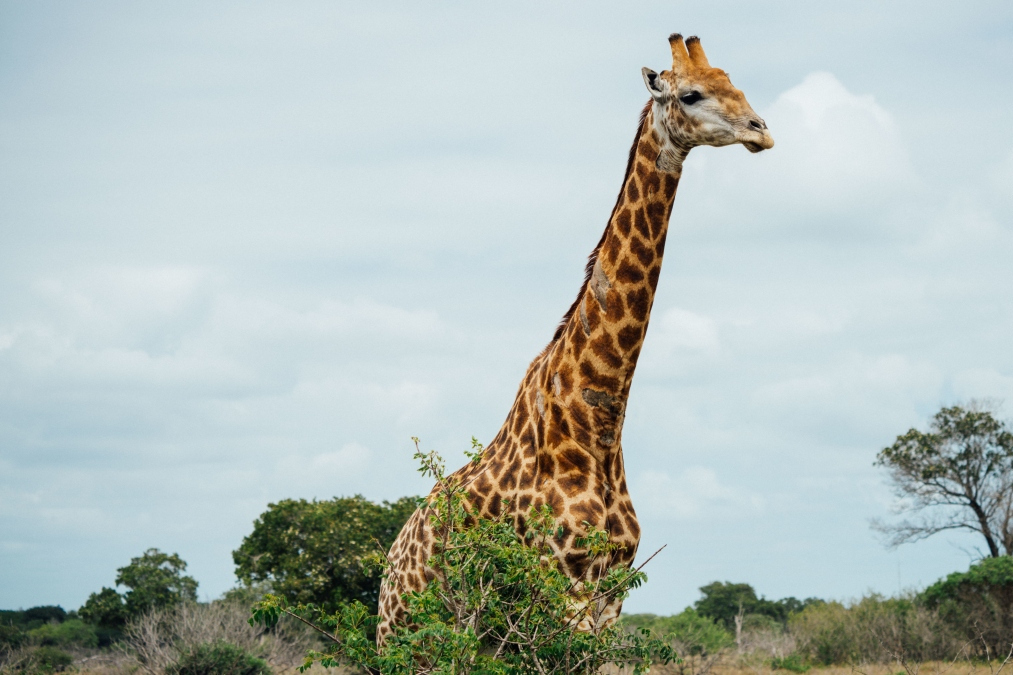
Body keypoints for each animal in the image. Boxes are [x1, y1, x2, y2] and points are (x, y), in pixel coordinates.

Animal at [376, 31, 769, 640]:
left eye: (737, 84)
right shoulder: (563, 585)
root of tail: (388, 570)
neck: (601, 421)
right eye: (692, 94)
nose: (761, 131)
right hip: (411, 635)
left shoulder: (612, 593)